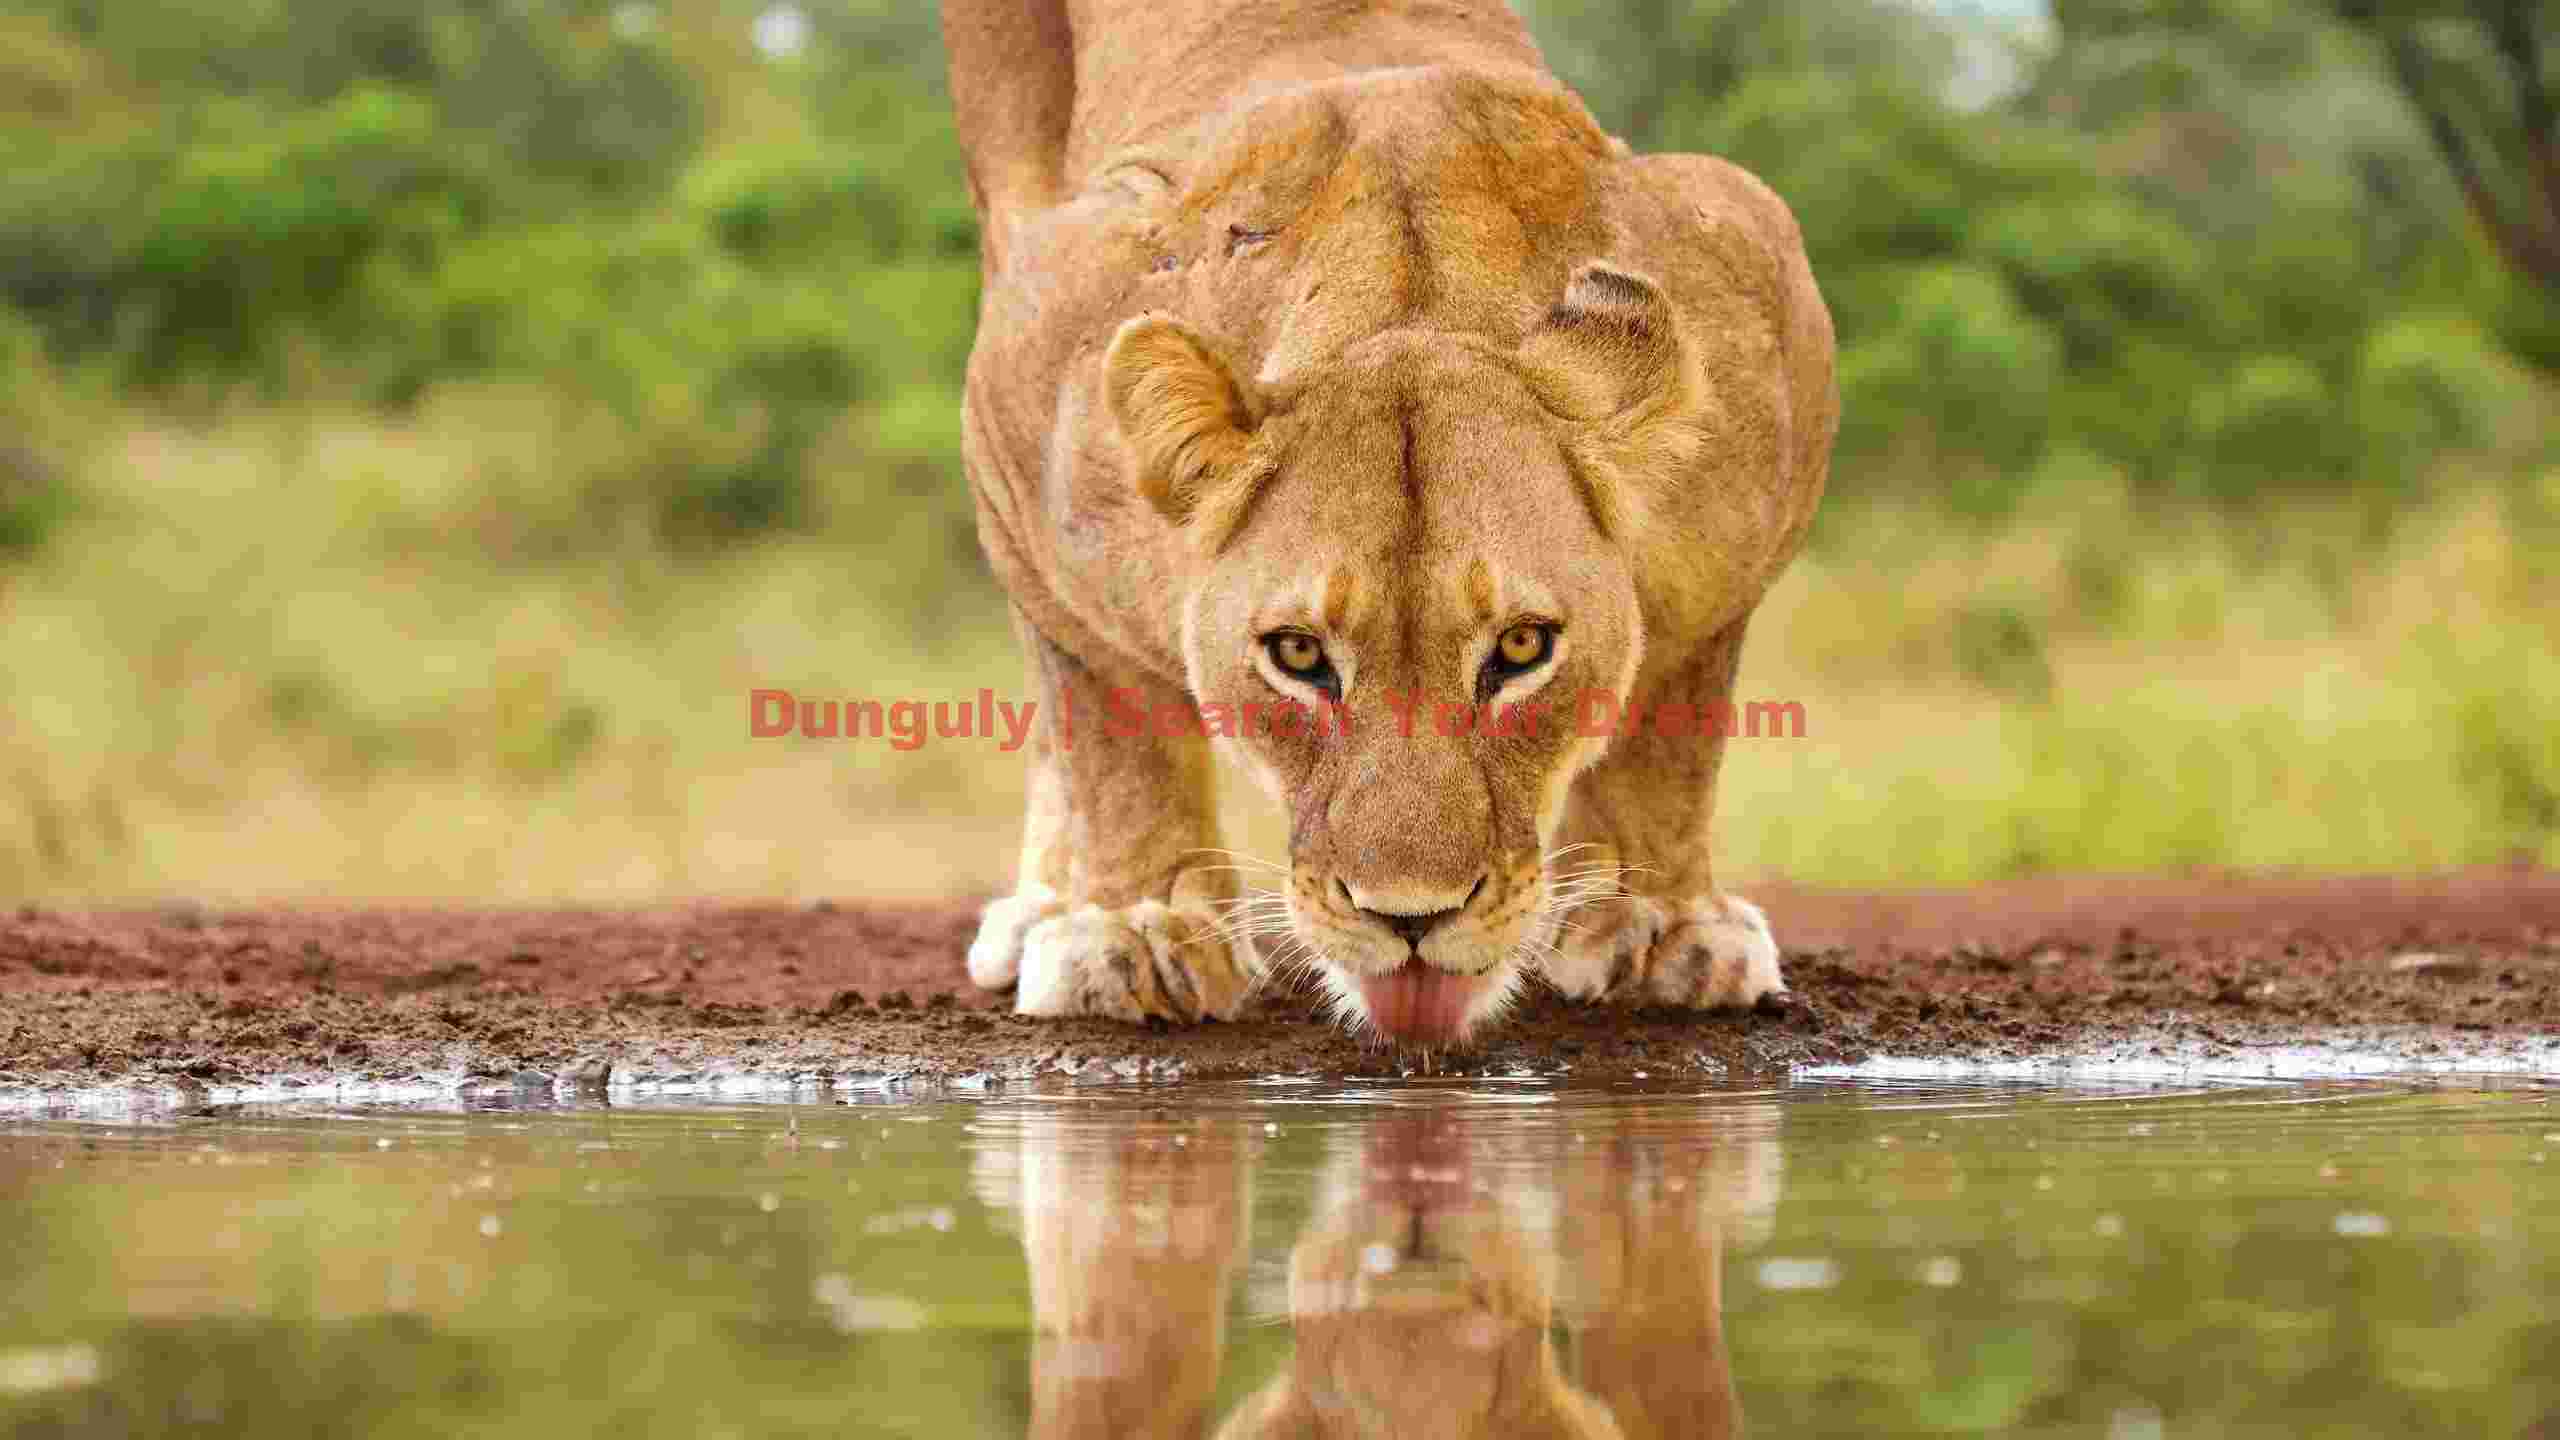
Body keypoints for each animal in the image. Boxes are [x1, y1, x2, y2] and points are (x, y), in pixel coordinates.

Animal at [942, 0, 1836, 1046]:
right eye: (1297, 655)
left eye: (1523, 647)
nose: (1412, 919)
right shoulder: (1022, 375)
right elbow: (1107, 720)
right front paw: (1138, 932)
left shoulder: (1761, 317)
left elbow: (1676, 726)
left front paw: (1661, 927)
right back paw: (1046, 907)